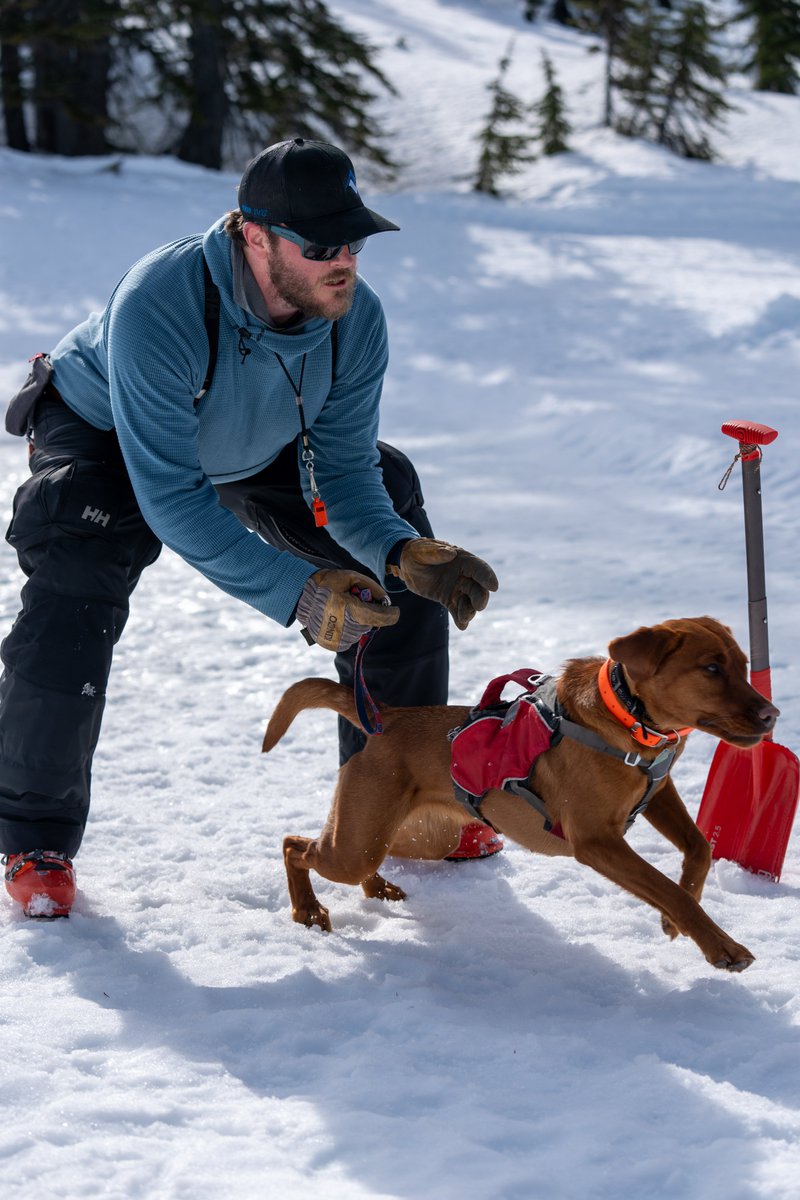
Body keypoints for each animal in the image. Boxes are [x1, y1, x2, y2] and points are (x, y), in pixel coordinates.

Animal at [266, 614, 777, 969]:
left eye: (743, 666)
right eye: (710, 668)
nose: (772, 714)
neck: (631, 720)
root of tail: (385, 717)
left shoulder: (659, 791)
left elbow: (698, 851)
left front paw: (676, 920)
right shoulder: (596, 841)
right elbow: (666, 887)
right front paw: (721, 946)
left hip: (412, 834)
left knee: (351, 852)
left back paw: (377, 888)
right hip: (359, 841)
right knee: (293, 844)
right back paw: (308, 910)